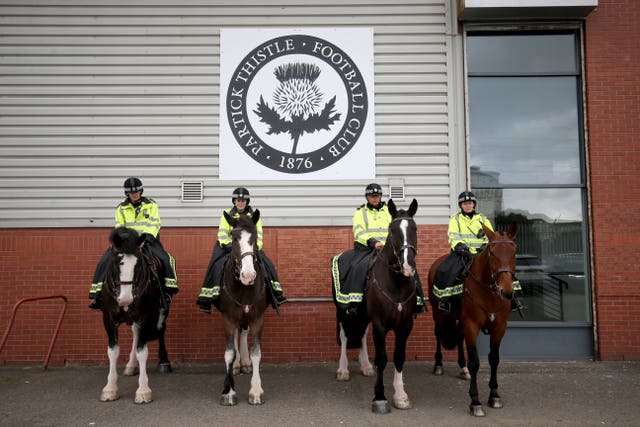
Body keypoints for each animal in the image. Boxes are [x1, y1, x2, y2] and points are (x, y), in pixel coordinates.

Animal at [99, 227, 171, 404]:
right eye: (116, 262)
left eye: (138, 264)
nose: (125, 299)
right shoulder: (108, 320)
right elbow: (113, 352)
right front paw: (110, 388)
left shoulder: (143, 318)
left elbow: (142, 351)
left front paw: (143, 391)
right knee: (135, 334)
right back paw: (131, 365)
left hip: (161, 311)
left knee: (160, 330)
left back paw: (164, 362)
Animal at [218, 211, 268, 408]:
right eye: (234, 237)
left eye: (254, 238)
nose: (248, 275)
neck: (244, 288)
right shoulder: (228, 319)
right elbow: (229, 353)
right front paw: (229, 391)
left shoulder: (258, 319)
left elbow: (256, 354)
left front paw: (256, 391)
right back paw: (237, 365)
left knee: (243, 333)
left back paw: (244, 362)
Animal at [336, 200, 420, 414]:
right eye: (393, 230)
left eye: (414, 229)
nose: (408, 266)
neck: (396, 283)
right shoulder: (380, 324)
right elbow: (382, 358)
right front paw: (380, 398)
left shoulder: (405, 325)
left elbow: (399, 357)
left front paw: (401, 396)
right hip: (343, 311)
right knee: (344, 336)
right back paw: (343, 370)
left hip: (364, 316)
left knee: (362, 335)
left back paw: (366, 367)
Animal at [428, 222, 516, 416]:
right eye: (492, 253)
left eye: (514, 251)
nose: (506, 291)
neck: (488, 291)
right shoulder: (472, 325)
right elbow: (475, 362)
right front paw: (475, 402)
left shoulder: (500, 327)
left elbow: (494, 359)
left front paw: (494, 396)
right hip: (438, 313)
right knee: (438, 333)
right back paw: (438, 365)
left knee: (459, 337)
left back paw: (462, 368)